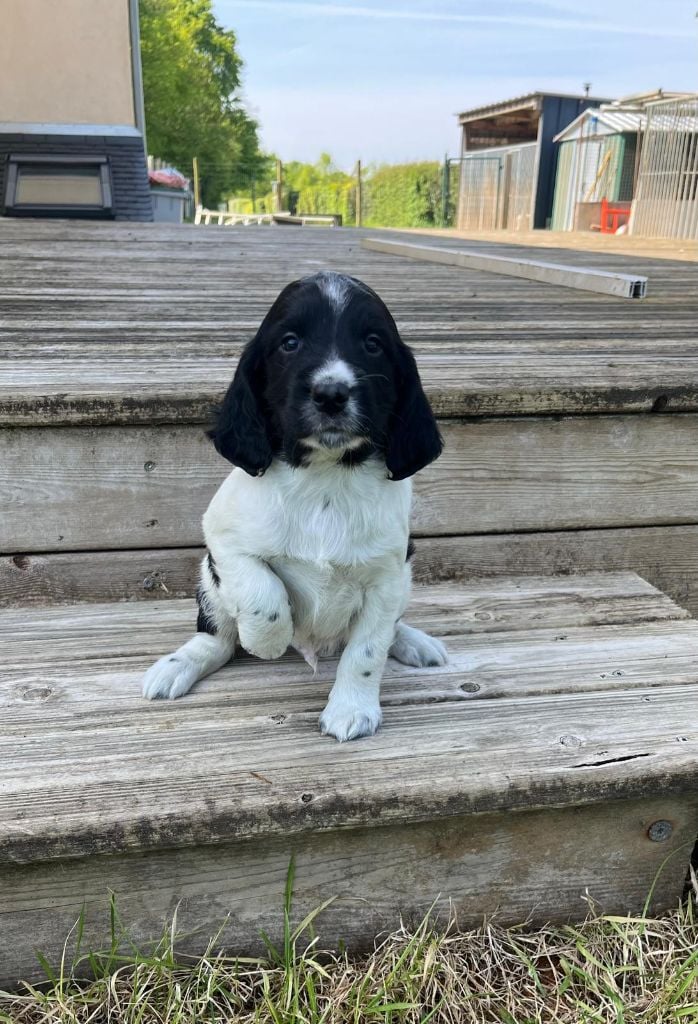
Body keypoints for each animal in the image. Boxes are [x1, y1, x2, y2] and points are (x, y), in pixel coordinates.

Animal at [142, 270, 446, 737]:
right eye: (289, 343)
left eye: (372, 344)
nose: (331, 393)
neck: (324, 479)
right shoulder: (223, 539)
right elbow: (261, 594)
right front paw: (266, 640)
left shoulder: (387, 576)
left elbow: (367, 651)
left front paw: (351, 708)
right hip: (209, 583)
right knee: (217, 638)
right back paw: (179, 665)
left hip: (405, 580)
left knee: (390, 629)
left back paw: (414, 641)